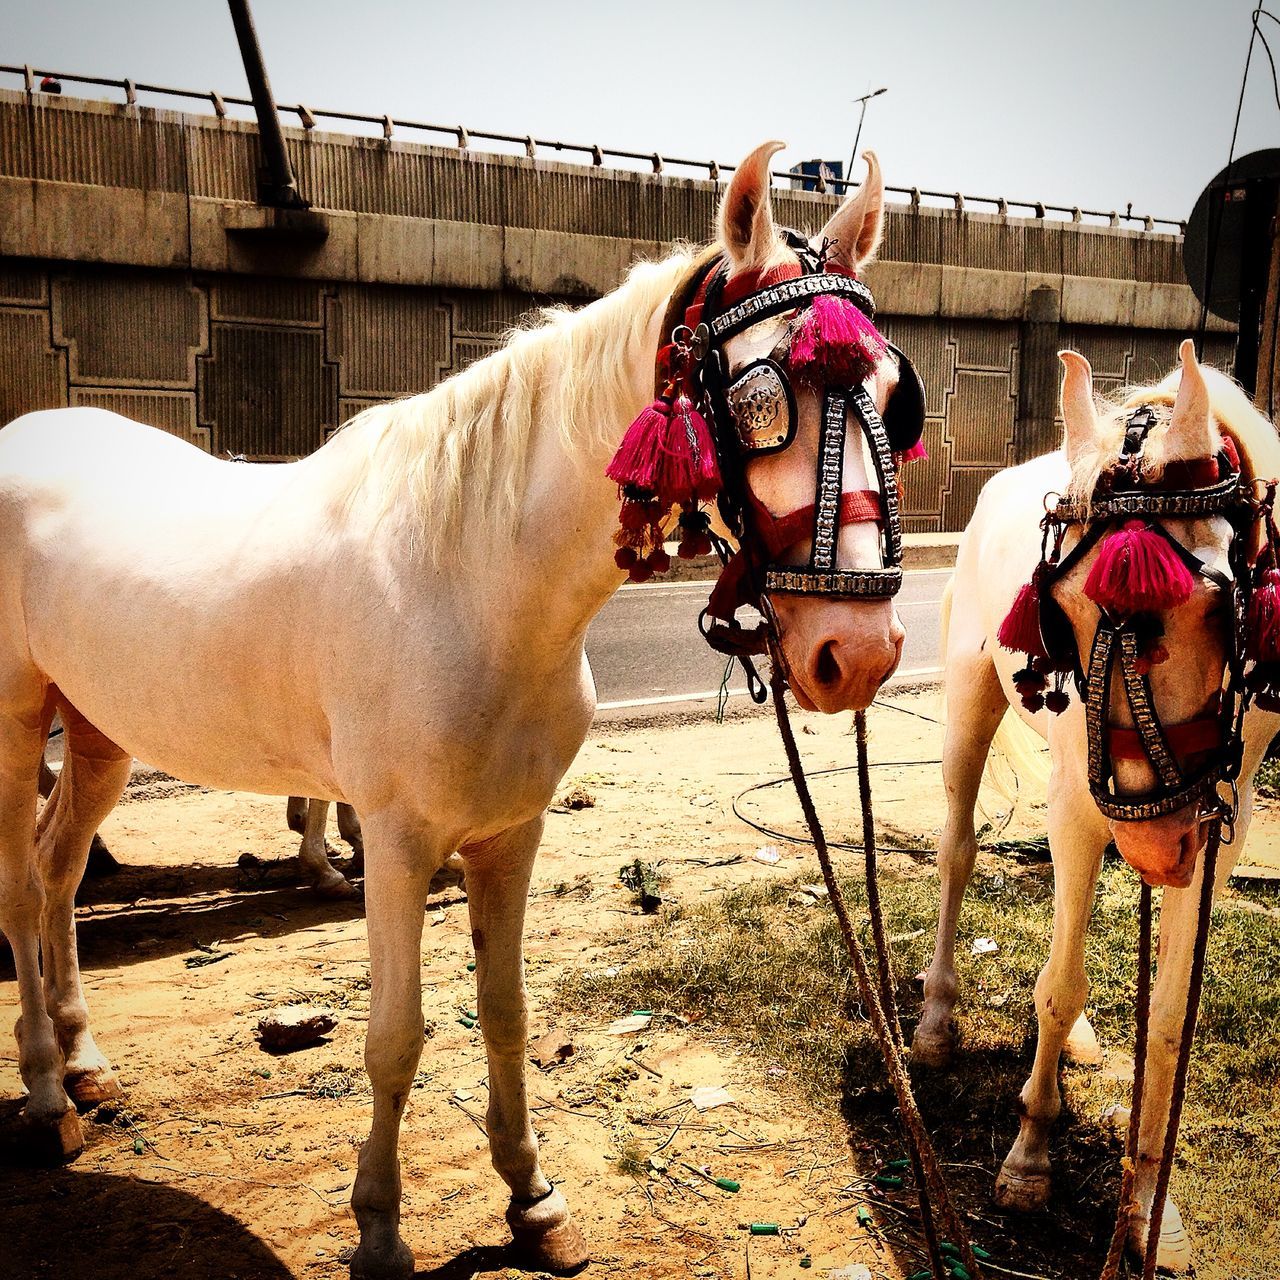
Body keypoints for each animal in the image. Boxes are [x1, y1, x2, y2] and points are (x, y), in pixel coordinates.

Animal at [0, 142, 911, 1280]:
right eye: (759, 399)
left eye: (894, 395)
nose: (858, 652)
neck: (468, 578)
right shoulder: (396, 843)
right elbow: (394, 1038)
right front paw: (380, 1230)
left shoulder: (508, 834)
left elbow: (504, 1012)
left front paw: (532, 1197)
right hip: (13, 718)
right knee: (18, 892)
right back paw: (45, 1094)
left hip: (99, 728)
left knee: (57, 871)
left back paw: (85, 1064)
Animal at [916, 345, 1274, 1274]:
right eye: (1064, 608)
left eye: (1210, 605)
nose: (1154, 844)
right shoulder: (1085, 801)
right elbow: (1059, 982)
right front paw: (1030, 1157)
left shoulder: (1217, 825)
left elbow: (1172, 1018)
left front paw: (1149, 1201)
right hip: (972, 699)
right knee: (959, 850)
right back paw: (936, 1020)